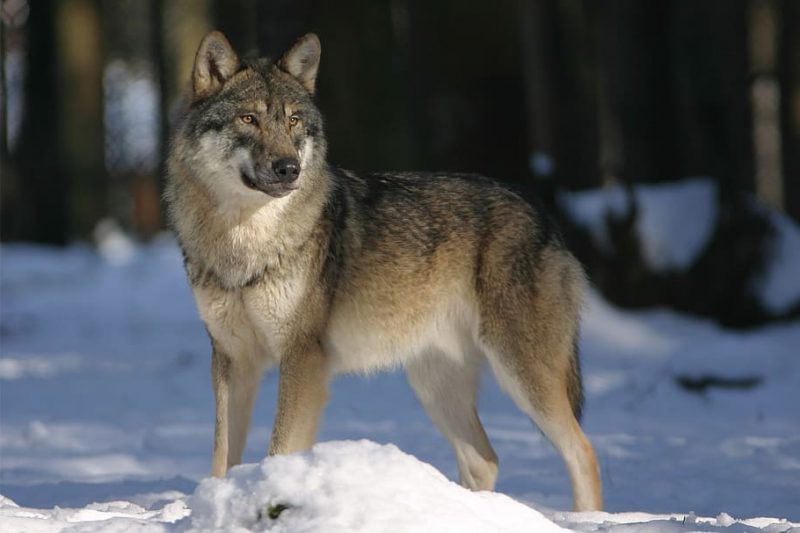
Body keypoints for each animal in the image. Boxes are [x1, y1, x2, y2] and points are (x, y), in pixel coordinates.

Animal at [165, 31, 603, 511]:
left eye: (294, 121)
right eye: (249, 118)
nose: (289, 168)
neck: (245, 243)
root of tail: (542, 213)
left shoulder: (303, 359)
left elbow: (279, 448)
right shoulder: (231, 361)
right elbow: (222, 457)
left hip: (521, 374)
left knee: (583, 450)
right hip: (434, 384)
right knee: (485, 460)